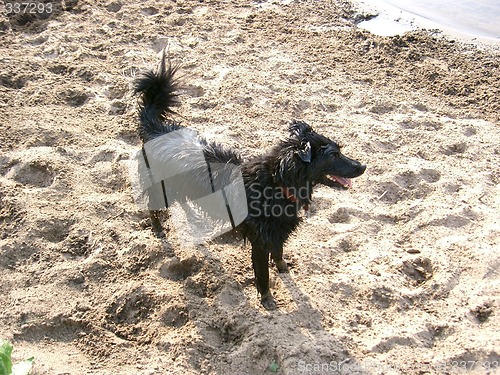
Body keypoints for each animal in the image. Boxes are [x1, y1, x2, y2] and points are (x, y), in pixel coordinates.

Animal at [135, 55, 366, 308]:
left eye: (339, 151)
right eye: (333, 155)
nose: (362, 166)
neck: (277, 184)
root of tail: (157, 131)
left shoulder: (277, 231)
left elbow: (279, 253)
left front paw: (283, 268)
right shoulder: (260, 239)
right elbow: (263, 273)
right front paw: (267, 298)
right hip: (159, 186)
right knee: (154, 207)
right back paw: (158, 230)